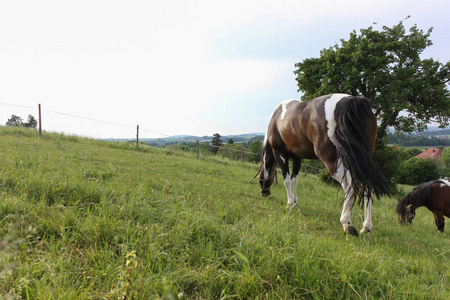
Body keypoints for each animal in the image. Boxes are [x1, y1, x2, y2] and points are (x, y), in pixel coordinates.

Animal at [256, 94, 390, 237]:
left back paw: (347, 223)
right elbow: (294, 180)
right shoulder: (297, 158)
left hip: (333, 160)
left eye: (260, 179)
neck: (277, 118)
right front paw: (295, 202)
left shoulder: (280, 154)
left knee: (349, 185)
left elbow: (286, 180)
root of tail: (352, 100)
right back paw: (366, 227)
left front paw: (290, 204)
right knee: (367, 186)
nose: (264, 193)